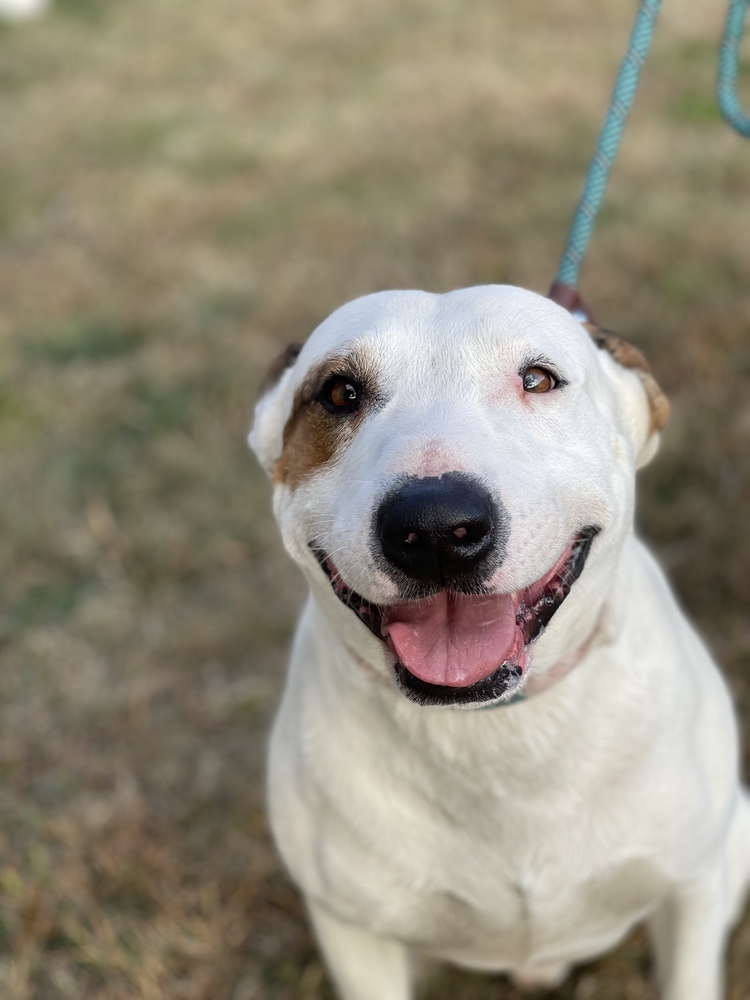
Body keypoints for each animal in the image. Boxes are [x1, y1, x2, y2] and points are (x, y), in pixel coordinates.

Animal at [250, 286, 748, 996]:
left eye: (537, 379)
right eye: (339, 393)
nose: (434, 527)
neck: (493, 728)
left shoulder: (693, 889)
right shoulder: (353, 930)